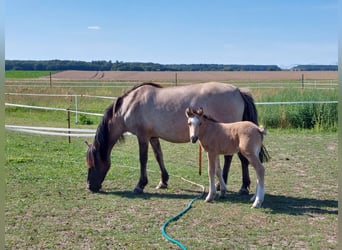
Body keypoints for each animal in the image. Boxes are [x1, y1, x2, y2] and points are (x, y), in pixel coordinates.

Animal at [85, 82, 262, 193]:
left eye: (92, 163)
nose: (89, 186)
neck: (130, 105)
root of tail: (238, 91)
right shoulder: (153, 136)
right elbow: (159, 156)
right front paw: (163, 181)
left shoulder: (142, 136)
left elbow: (143, 159)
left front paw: (140, 185)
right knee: (238, 159)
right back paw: (236, 186)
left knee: (233, 158)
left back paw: (230, 185)